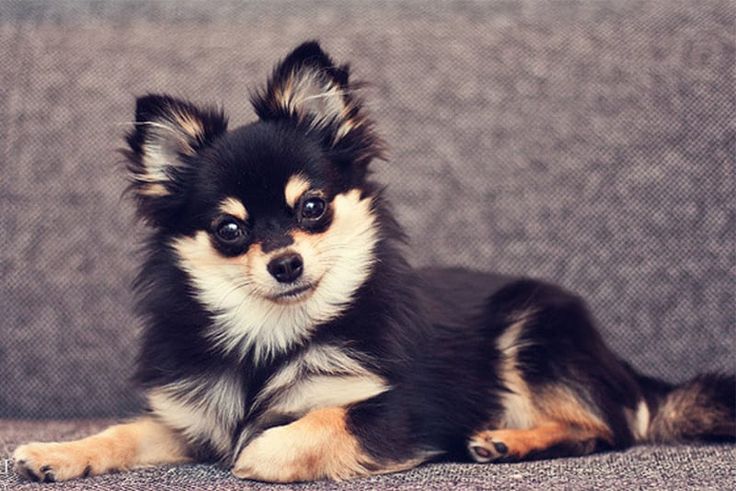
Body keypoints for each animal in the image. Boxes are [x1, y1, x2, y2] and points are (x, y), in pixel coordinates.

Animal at [12, 39, 736, 484]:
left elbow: (331, 416)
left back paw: (509, 439)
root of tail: (628, 370)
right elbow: (124, 430)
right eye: (228, 229)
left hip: (533, 330)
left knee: (607, 427)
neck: (271, 336)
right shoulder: (189, 421)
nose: (284, 262)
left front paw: (265, 448)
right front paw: (56, 452)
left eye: (312, 208)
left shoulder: (408, 409)